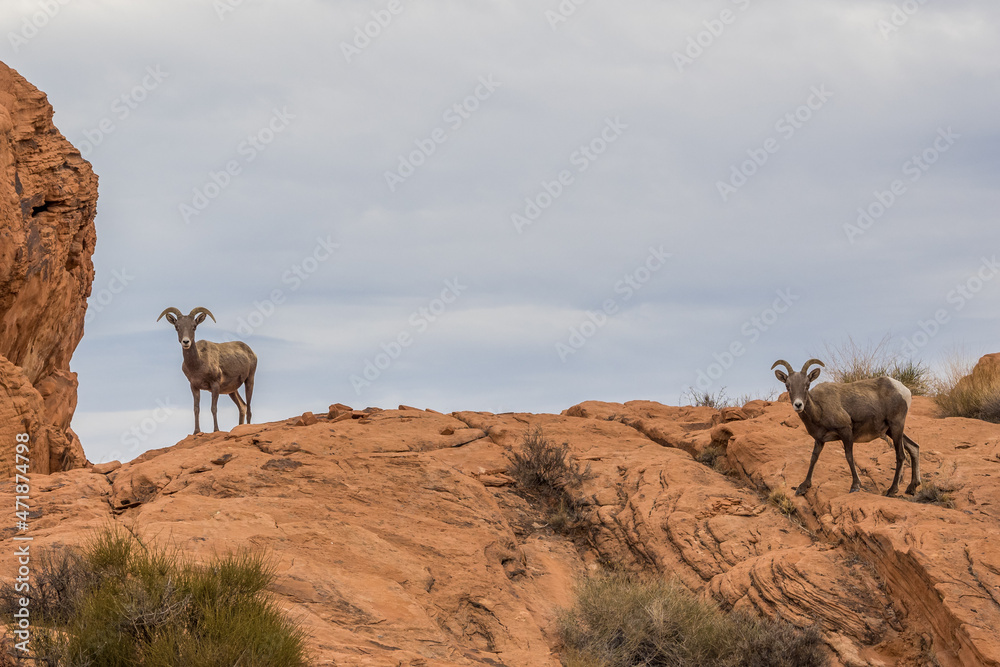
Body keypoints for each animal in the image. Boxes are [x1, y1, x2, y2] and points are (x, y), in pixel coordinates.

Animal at [157, 306, 258, 436]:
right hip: (232, 390)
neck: (198, 364)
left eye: (194, 326)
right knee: (242, 406)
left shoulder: (215, 385)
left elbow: (213, 408)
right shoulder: (194, 386)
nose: (186, 342)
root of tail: (251, 352)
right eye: (177, 326)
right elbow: (196, 408)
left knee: (249, 407)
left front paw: (216, 430)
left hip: (249, 380)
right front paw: (196, 432)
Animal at [772, 360, 920, 496]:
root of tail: (904, 390)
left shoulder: (846, 431)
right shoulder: (819, 440)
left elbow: (849, 456)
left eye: (807, 385)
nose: (798, 405)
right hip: (891, 430)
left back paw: (892, 490)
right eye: (788, 386)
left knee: (901, 455)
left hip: (896, 426)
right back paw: (912, 488)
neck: (819, 409)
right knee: (914, 447)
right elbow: (813, 458)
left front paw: (855, 486)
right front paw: (803, 487)